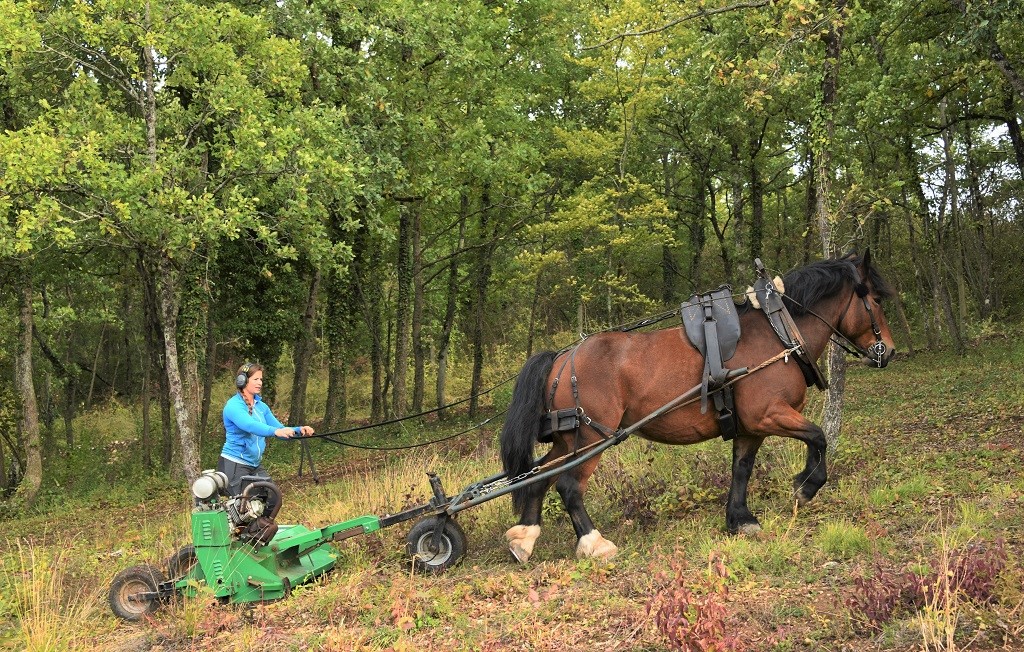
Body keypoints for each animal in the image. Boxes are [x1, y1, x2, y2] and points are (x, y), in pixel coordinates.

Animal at [497, 251, 897, 560]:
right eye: (876, 300)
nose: (888, 351)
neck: (778, 333)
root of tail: (563, 357)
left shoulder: (749, 427)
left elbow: (741, 469)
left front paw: (741, 519)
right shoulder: (769, 414)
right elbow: (818, 436)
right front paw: (806, 485)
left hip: (570, 441)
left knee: (538, 477)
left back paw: (524, 539)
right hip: (593, 438)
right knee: (568, 485)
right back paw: (594, 543)